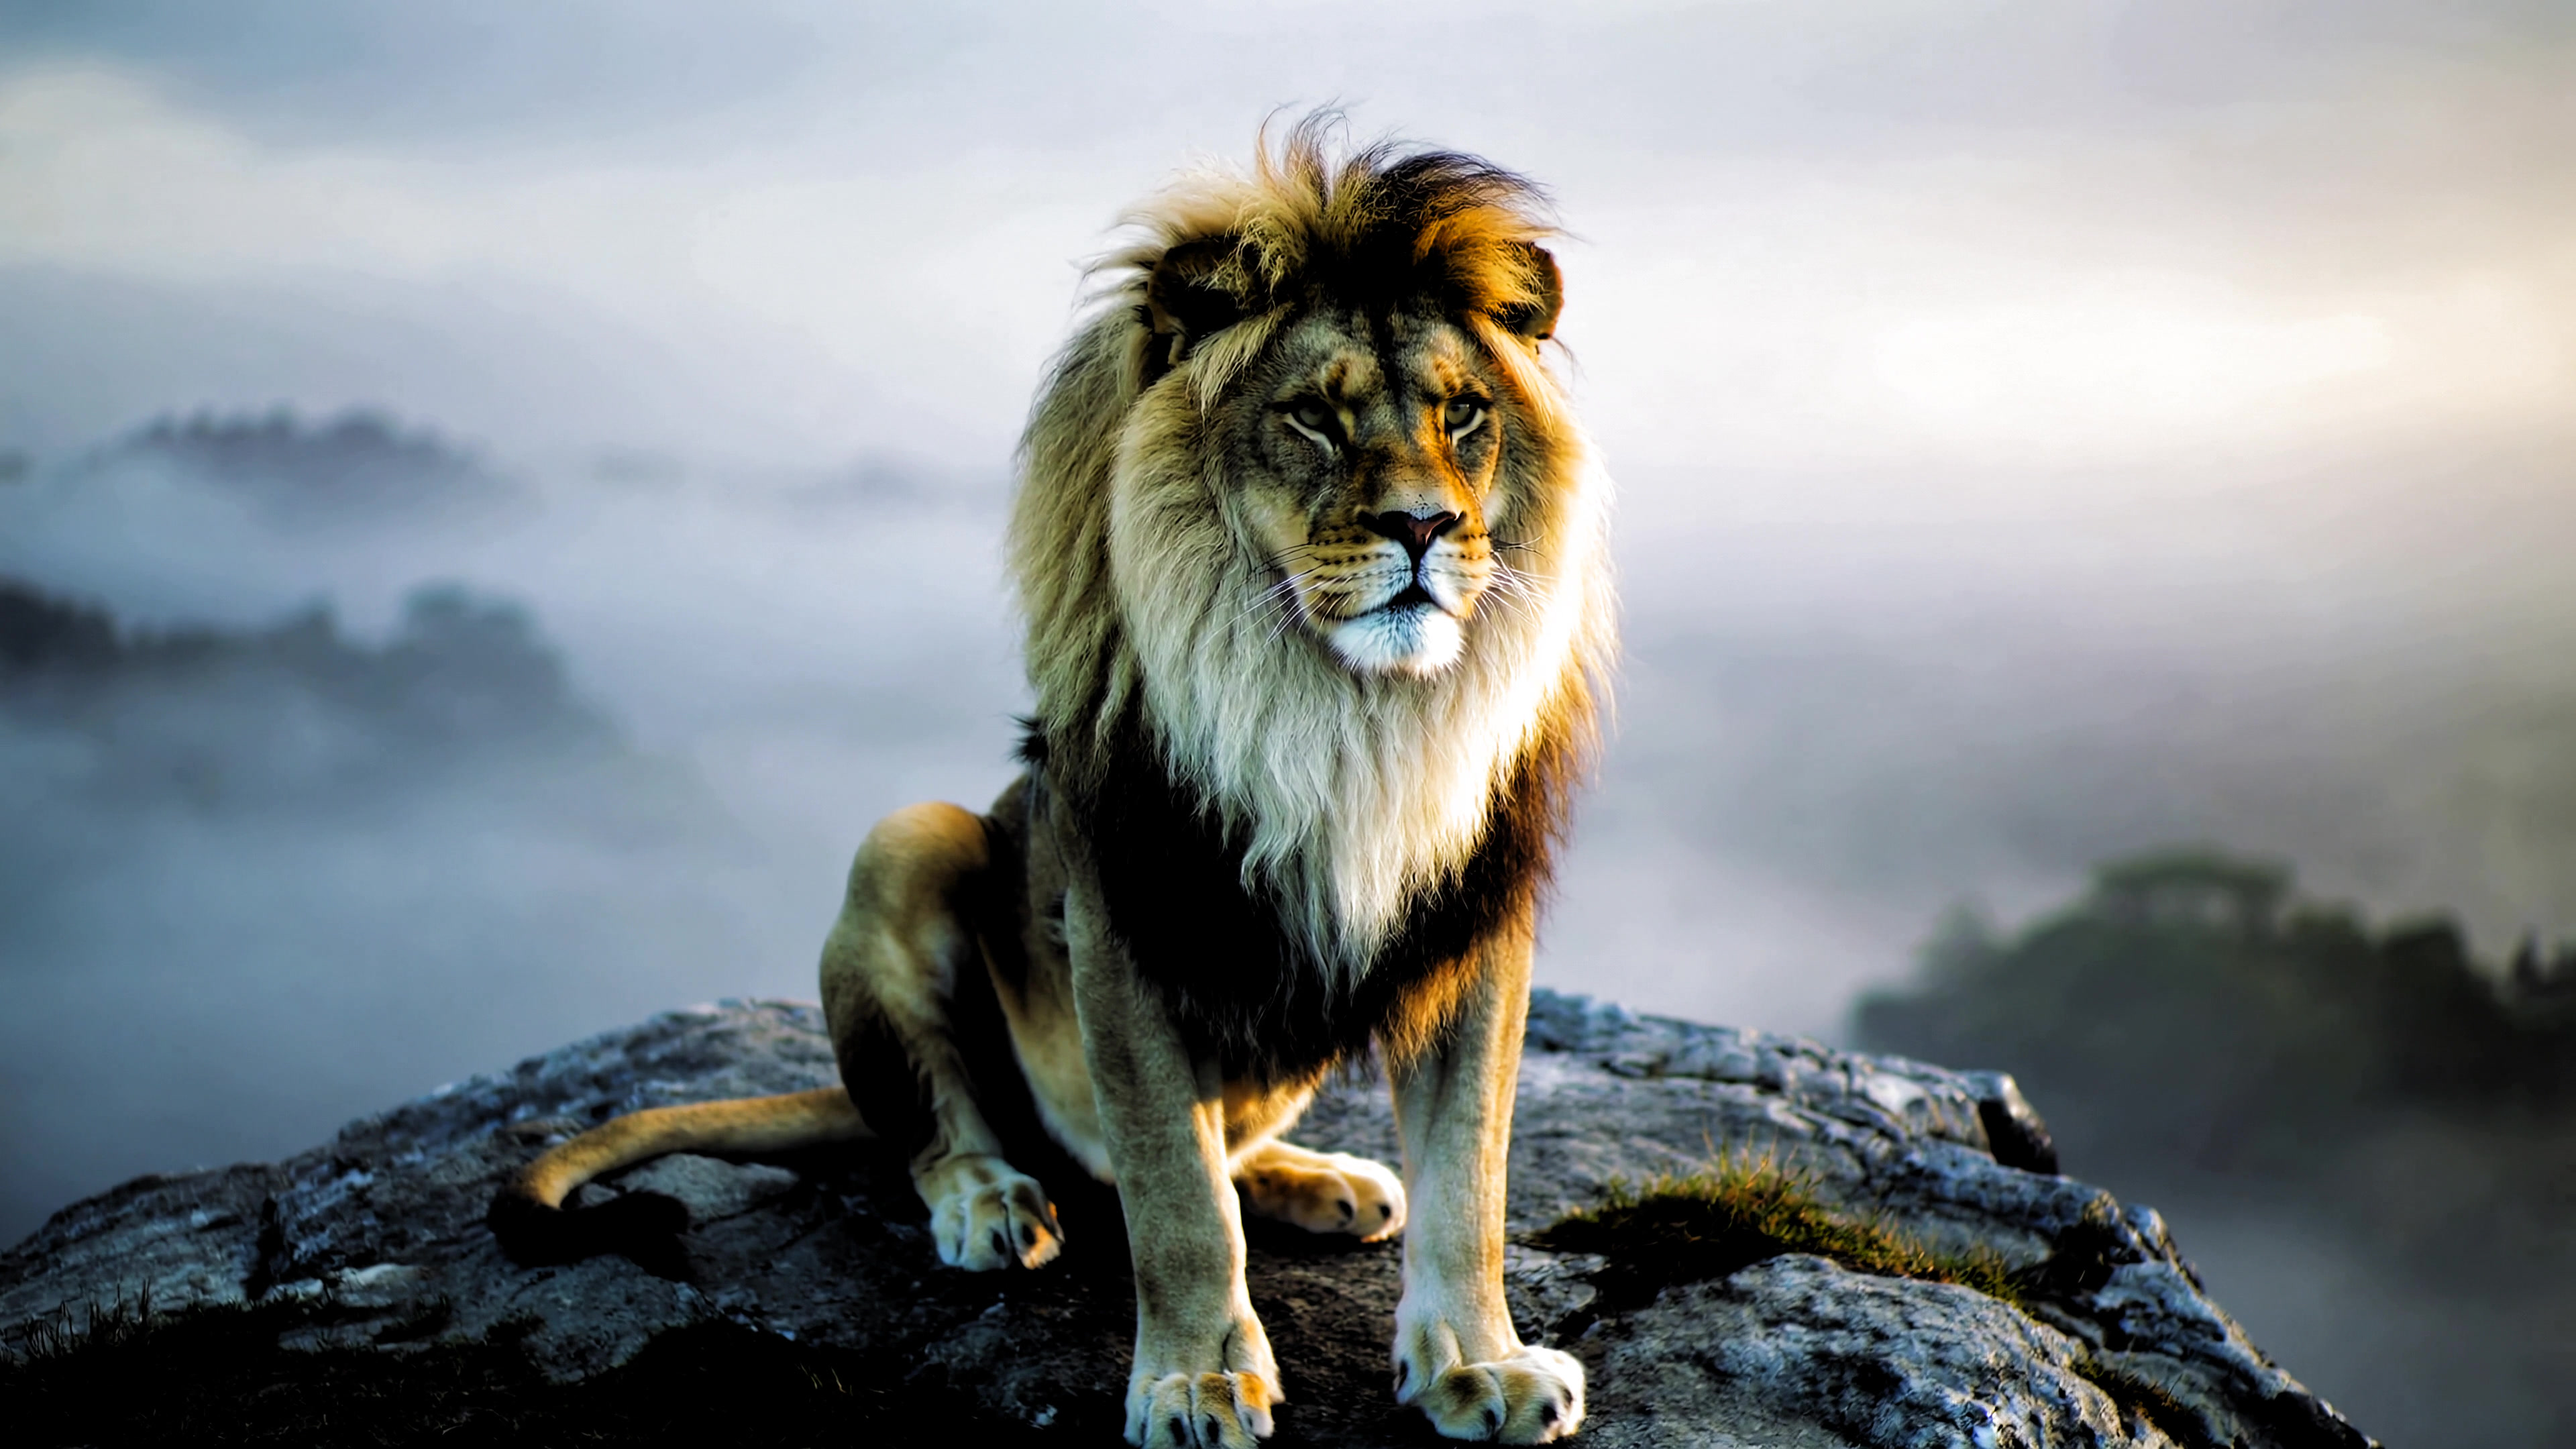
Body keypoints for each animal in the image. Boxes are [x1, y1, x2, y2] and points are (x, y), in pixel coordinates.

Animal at [490, 120, 1615, 1447]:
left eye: (1464, 414)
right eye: (1313, 421)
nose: (1427, 528)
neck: (1341, 707)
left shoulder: (1475, 926)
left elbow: (1470, 1177)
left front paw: (1481, 1367)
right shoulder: (1121, 918)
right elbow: (1175, 1196)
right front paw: (1195, 1381)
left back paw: (1322, 1181)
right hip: (908, 839)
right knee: (963, 1126)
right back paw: (991, 1200)